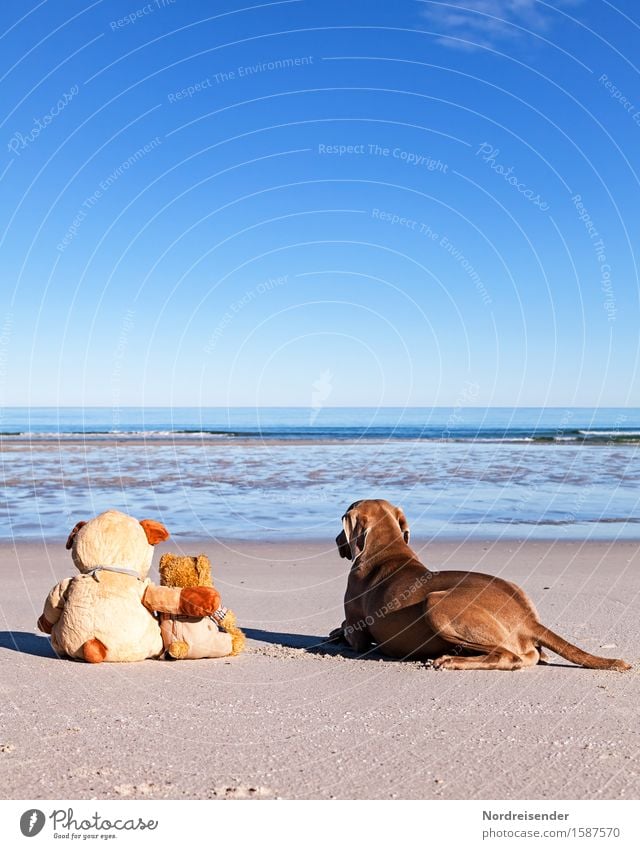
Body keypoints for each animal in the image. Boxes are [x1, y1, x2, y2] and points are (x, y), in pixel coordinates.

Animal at [330, 496, 632, 668]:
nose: (335, 540)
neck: (387, 547)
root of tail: (528, 619)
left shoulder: (357, 631)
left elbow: (347, 628)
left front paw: (336, 632)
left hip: (435, 604)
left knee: (510, 657)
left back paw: (451, 660)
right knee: (533, 656)